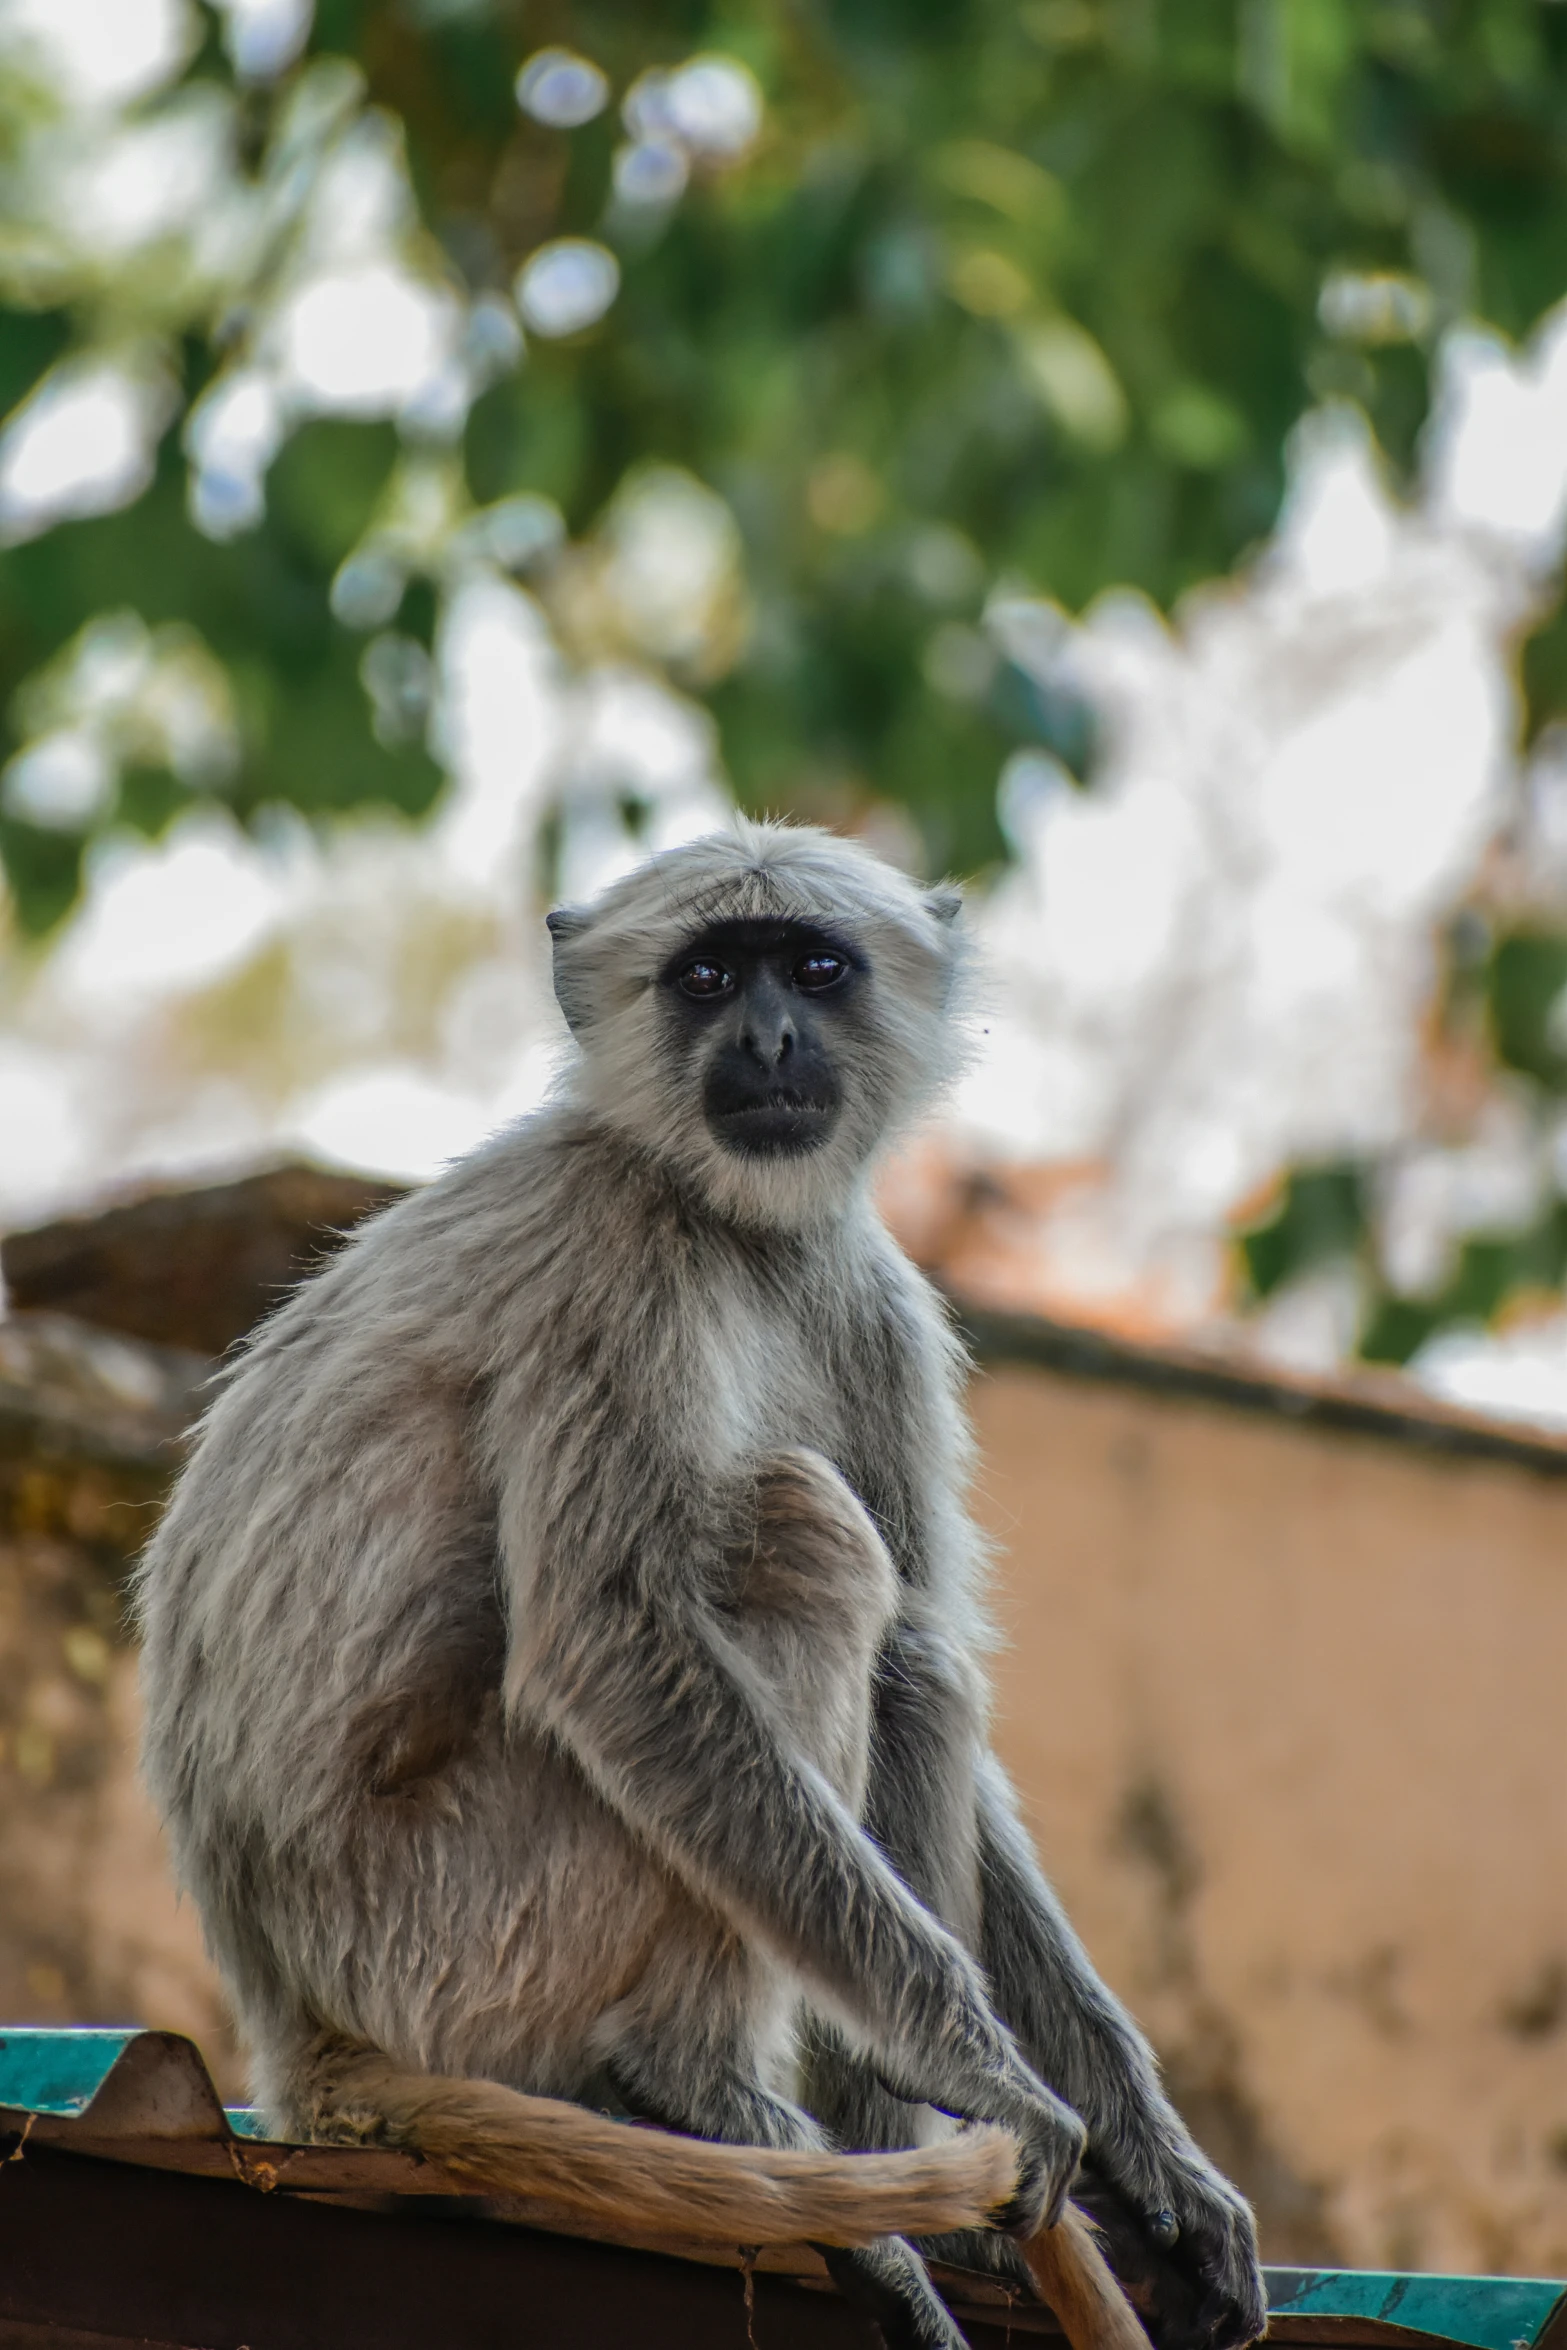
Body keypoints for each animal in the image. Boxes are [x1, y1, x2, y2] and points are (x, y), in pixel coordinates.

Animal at [131, 822, 1259, 2350]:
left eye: (816, 968)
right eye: (709, 975)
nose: (769, 1037)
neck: (720, 1219)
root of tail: (297, 2028)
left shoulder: (865, 1291)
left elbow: (919, 1639)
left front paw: (1158, 2167)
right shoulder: (608, 1255)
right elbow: (611, 1646)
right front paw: (987, 2076)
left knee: (906, 1656)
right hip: (455, 1928)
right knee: (794, 1534)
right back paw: (704, 2089)